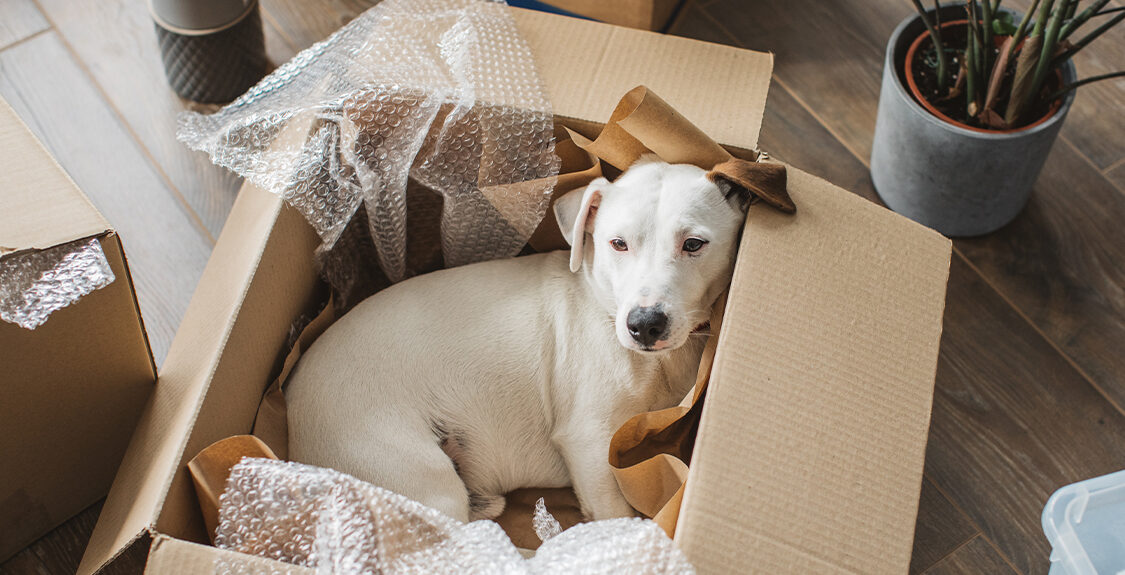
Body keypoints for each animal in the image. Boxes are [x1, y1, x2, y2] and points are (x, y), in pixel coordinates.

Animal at [285, 155, 787, 524]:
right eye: (617, 243)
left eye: (694, 244)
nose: (645, 324)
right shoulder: (589, 442)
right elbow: (615, 517)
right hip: (420, 479)